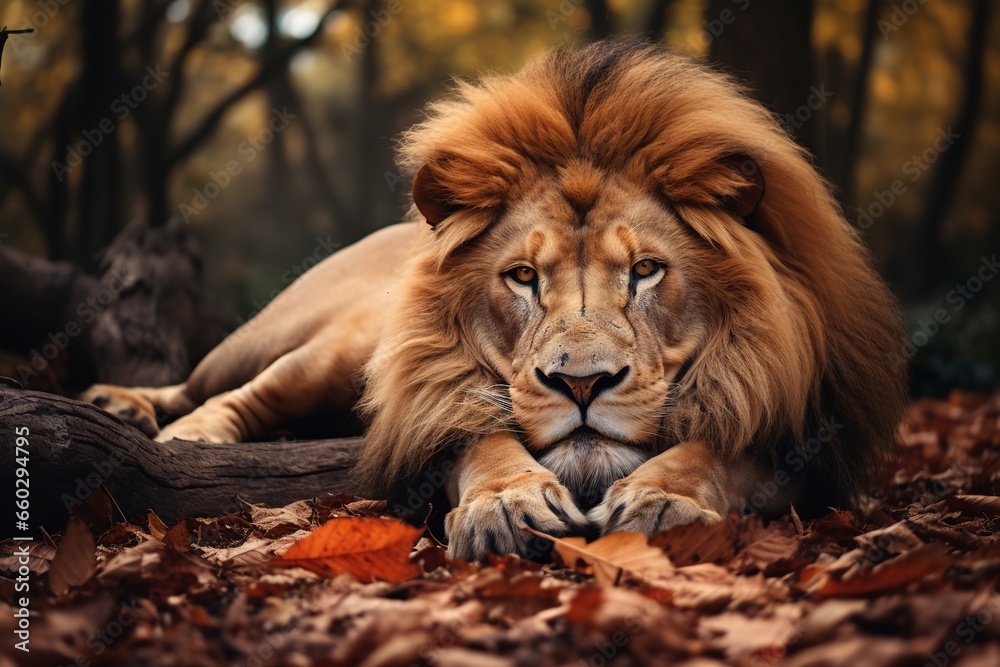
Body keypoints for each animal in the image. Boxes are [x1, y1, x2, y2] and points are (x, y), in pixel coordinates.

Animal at [82, 40, 908, 560]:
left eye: (646, 270)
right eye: (522, 277)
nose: (581, 384)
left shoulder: (808, 426)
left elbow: (721, 444)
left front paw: (661, 500)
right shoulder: (428, 403)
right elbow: (480, 438)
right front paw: (510, 502)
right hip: (325, 350)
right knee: (219, 389)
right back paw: (159, 419)